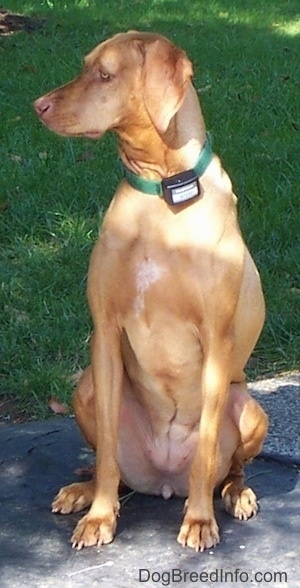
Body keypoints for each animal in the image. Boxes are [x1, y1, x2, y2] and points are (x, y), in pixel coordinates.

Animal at [34, 31, 268, 552]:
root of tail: (163, 482)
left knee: (231, 468)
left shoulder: (216, 343)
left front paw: (199, 520)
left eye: (104, 74)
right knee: (113, 467)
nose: (38, 105)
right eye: (85, 67)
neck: (161, 194)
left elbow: (205, 452)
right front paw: (100, 517)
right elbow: (105, 457)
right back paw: (84, 491)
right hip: (86, 387)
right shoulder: (104, 333)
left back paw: (236, 494)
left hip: (247, 408)